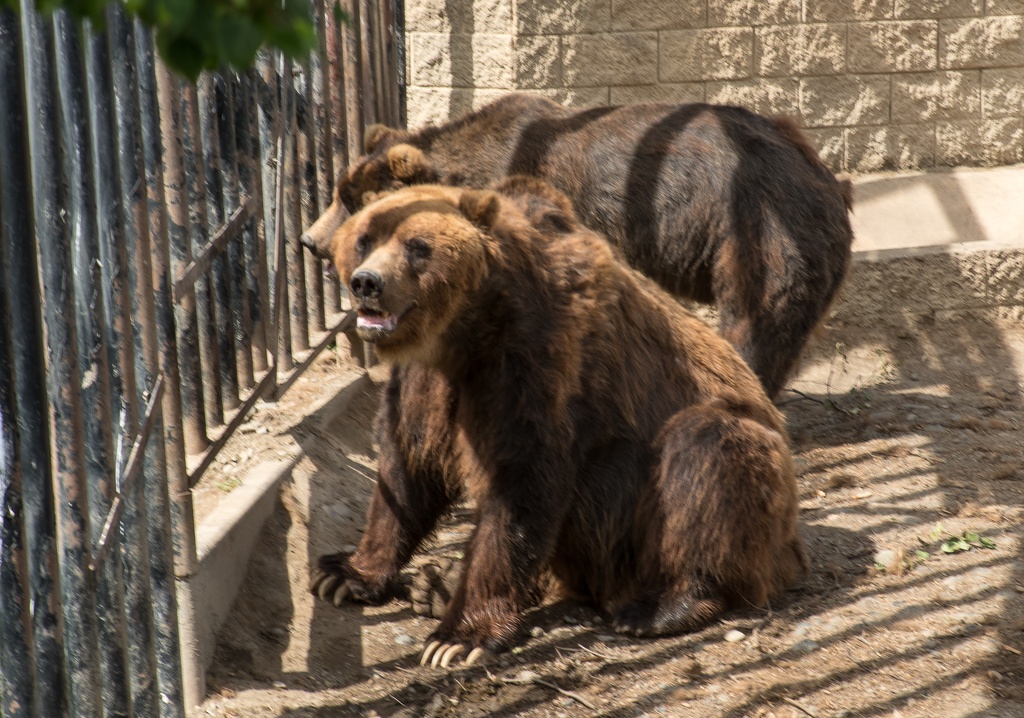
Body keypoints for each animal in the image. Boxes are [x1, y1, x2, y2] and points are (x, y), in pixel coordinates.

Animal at [303, 92, 856, 397]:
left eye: (351, 202)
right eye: (338, 193)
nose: (311, 241)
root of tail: (825, 176)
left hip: (758, 230)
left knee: (755, 320)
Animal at [307, 175, 802, 667]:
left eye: (417, 246)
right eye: (365, 237)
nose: (367, 282)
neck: (464, 332)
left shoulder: (536, 362)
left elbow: (522, 483)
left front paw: (458, 638)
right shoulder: (425, 381)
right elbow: (407, 466)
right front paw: (344, 572)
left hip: (701, 502)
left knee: (707, 451)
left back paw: (665, 605)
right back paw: (436, 583)